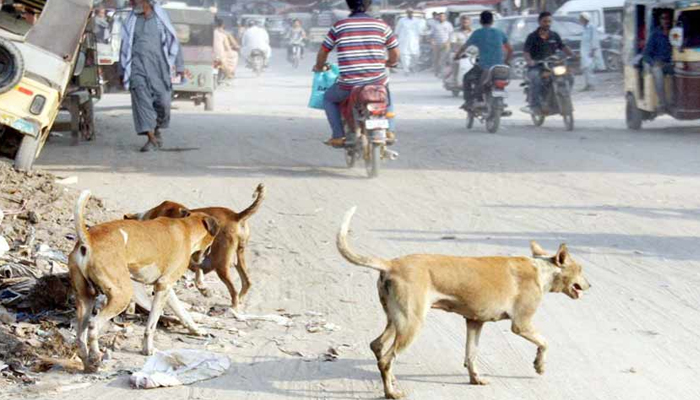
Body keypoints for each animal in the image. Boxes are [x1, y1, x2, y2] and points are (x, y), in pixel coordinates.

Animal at [67, 191, 219, 372]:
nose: (205, 257)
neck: (186, 228)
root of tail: (88, 239)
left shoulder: (166, 288)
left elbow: (182, 312)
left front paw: (196, 330)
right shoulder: (163, 287)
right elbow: (151, 325)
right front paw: (148, 349)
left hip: (86, 299)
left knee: (80, 334)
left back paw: (88, 363)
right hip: (122, 296)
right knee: (93, 325)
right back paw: (96, 356)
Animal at [124, 183, 266, 310]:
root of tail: (236, 216)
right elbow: (198, 270)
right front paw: (203, 287)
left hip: (221, 264)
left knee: (234, 291)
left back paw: (233, 309)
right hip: (238, 256)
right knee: (247, 282)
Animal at [338, 208, 592, 398]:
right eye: (580, 269)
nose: (590, 285)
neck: (541, 269)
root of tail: (391, 264)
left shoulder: (474, 322)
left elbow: (471, 355)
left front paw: (475, 378)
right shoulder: (521, 324)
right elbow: (545, 342)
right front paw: (540, 365)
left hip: (396, 319)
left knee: (378, 346)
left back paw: (391, 381)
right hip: (412, 323)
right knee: (386, 359)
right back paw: (391, 392)